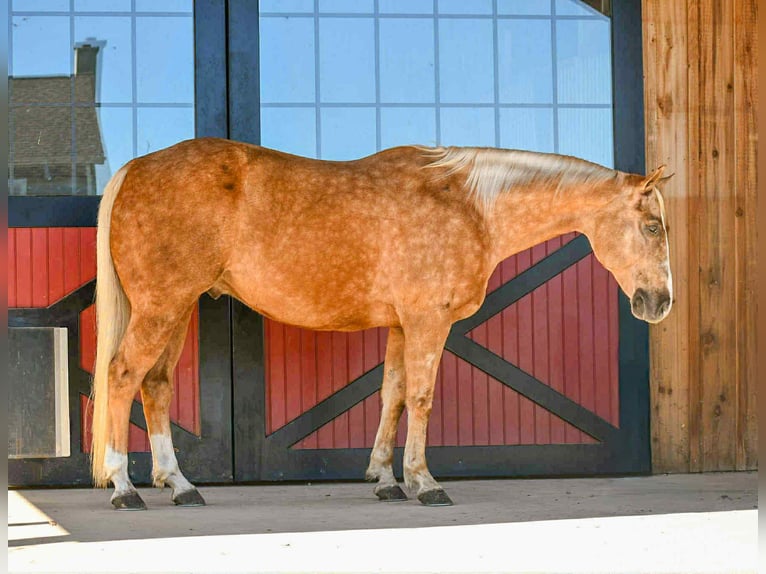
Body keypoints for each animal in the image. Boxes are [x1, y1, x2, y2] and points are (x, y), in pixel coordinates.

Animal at [91, 138, 672, 509]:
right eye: (652, 226)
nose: (660, 302)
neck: (471, 206)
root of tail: (136, 168)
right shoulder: (427, 321)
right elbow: (420, 397)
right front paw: (424, 482)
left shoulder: (400, 325)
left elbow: (391, 394)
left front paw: (386, 480)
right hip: (161, 307)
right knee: (122, 376)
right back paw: (124, 488)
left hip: (177, 308)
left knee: (155, 385)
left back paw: (180, 485)